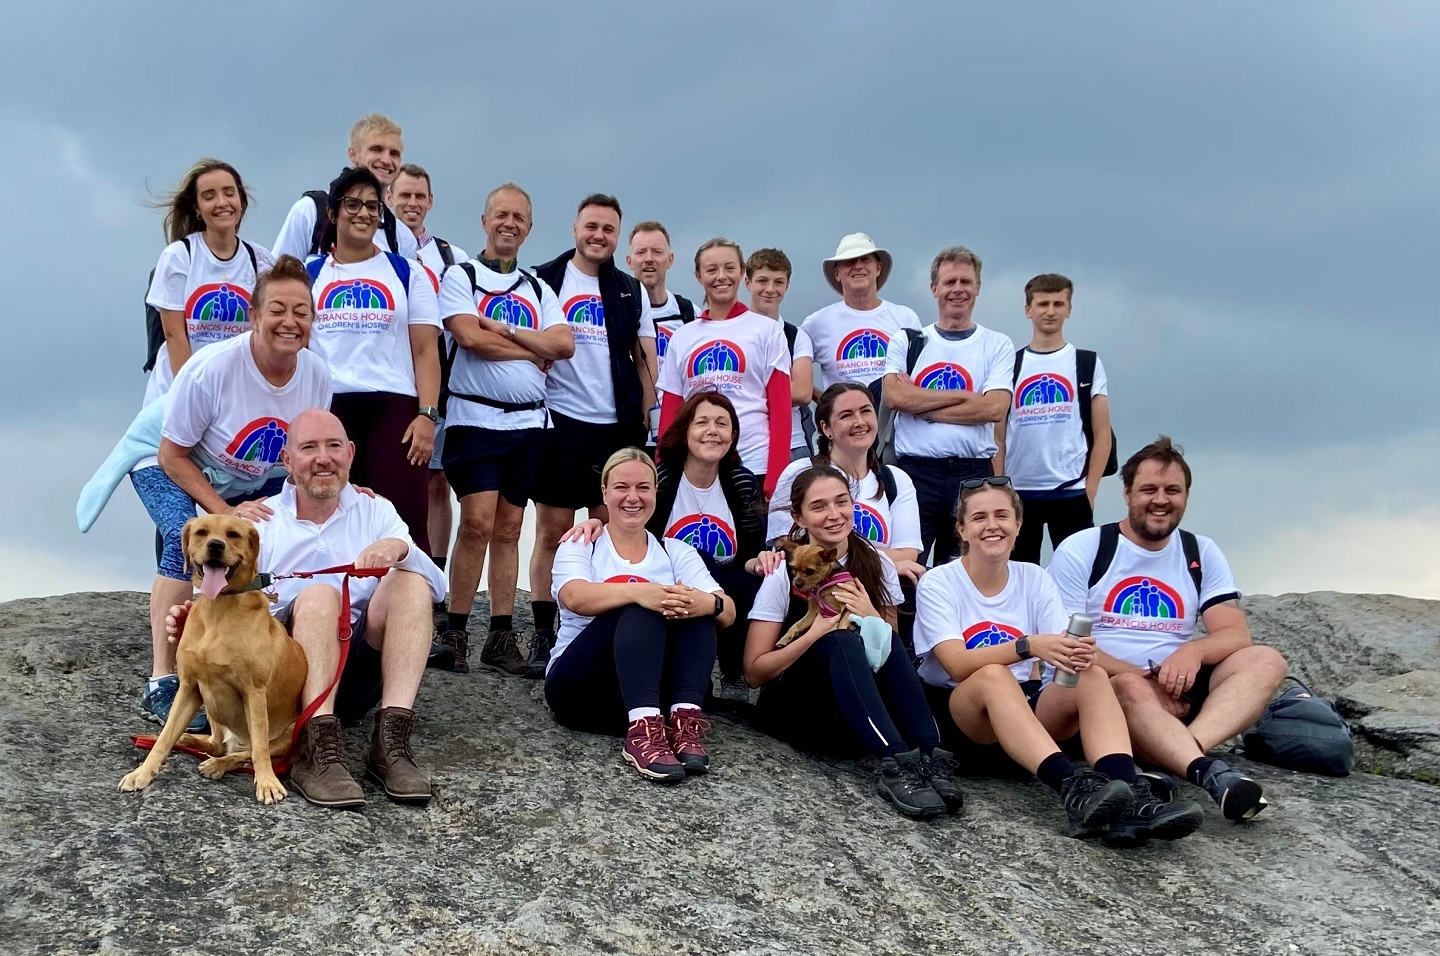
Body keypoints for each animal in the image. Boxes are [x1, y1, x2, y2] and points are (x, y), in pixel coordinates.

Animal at [119, 515, 308, 800]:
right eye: (202, 532)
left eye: (233, 534)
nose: (216, 546)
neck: (219, 608)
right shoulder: (189, 688)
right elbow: (165, 737)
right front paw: (142, 772)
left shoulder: (254, 691)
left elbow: (259, 750)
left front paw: (267, 782)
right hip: (211, 710)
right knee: (214, 744)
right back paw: (186, 741)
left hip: (288, 735)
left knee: (243, 753)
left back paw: (217, 764)